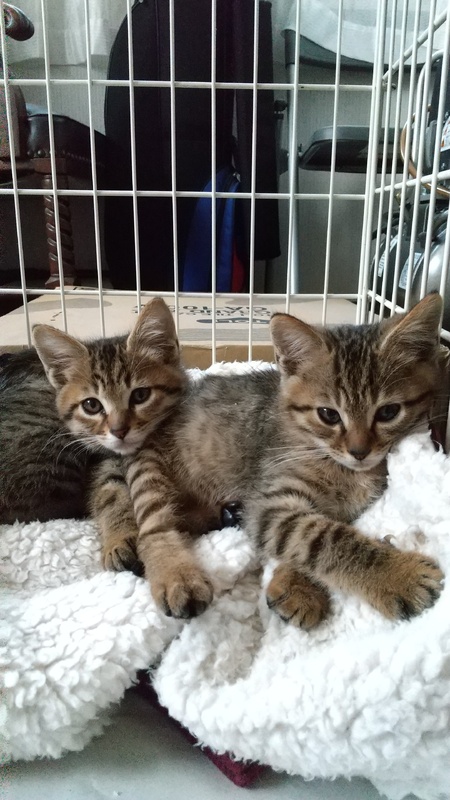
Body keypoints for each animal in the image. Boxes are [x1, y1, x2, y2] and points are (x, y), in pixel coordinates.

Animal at [82, 292, 445, 628]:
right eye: (328, 415)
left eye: (388, 412)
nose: (359, 451)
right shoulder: (269, 502)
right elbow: (323, 538)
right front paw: (400, 575)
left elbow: (314, 533)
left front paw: (295, 584)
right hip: (145, 469)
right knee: (137, 515)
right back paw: (150, 560)